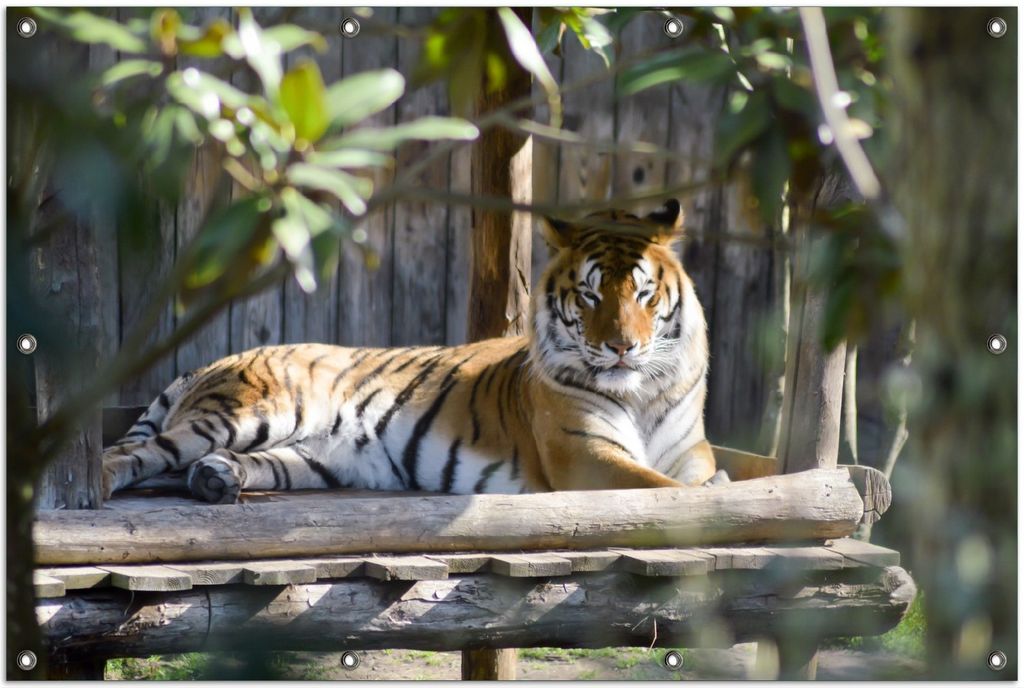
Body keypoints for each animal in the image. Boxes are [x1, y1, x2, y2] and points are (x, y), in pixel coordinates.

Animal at [102, 199, 721, 504]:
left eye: (643, 293)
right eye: (590, 294)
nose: (621, 347)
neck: (642, 392)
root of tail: (210, 363)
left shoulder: (693, 450)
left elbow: (704, 480)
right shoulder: (584, 455)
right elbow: (666, 492)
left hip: (314, 457)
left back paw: (215, 479)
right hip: (251, 412)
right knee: (133, 454)